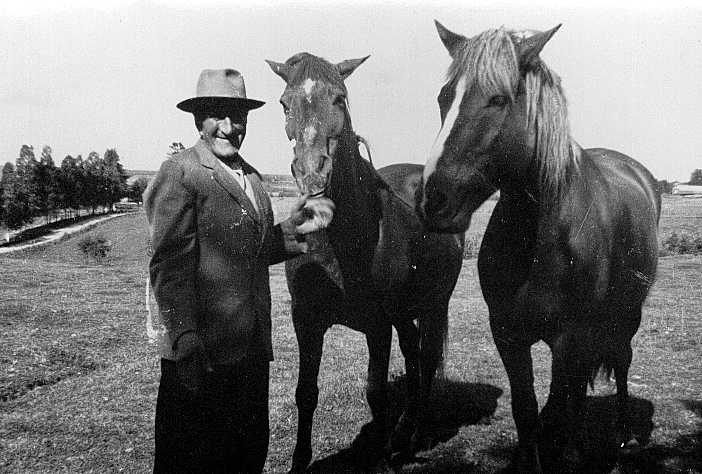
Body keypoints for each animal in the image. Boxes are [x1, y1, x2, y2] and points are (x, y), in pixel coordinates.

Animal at [267, 53, 464, 473]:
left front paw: (381, 455)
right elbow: (306, 392)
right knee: (413, 351)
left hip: (434, 304)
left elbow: (375, 392)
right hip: (405, 313)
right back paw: (403, 431)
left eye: (340, 99)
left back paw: (414, 436)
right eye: (284, 103)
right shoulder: (306, 320)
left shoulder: (378, 325)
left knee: (426, 358)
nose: (312, 174)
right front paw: (300, 461)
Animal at [416, 22, 661, 473]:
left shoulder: (572, 337)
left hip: (625, 316)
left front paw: (570, 453)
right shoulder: (509, 336)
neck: (539, 238)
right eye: (444, 98)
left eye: (497, 99)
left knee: (619, 362)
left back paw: (621, 435)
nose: (433, 200)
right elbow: (526, 408)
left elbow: (570, 403)